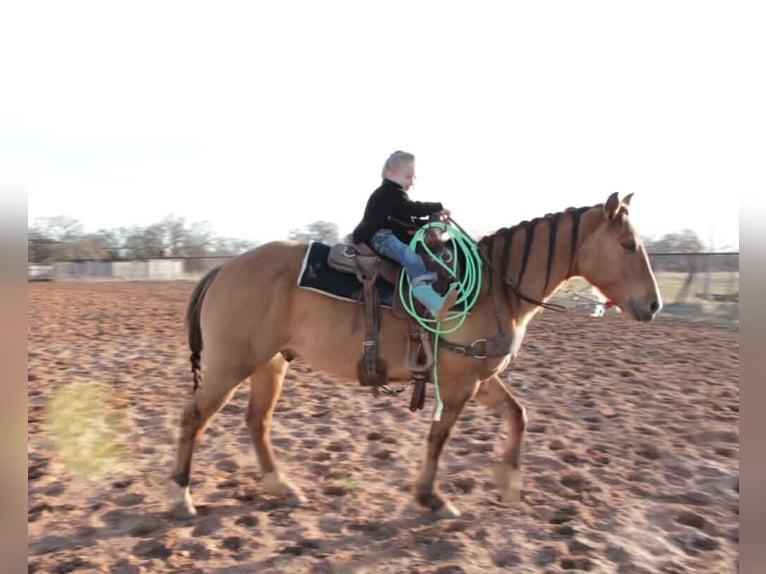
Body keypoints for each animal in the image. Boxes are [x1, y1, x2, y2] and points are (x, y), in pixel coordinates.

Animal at [171, 191, 664, 520]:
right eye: (627, 245)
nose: (654, 305)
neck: (493, 287)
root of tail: (225, 267)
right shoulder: (459, 382)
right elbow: (438, 437)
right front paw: (432, 498)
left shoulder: (479, 376)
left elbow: (518, 414)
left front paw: (508, 485)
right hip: (231, 365)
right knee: (193, 418)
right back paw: (182, 497)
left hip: (270, 363)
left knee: (257, 421)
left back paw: (282, 486)